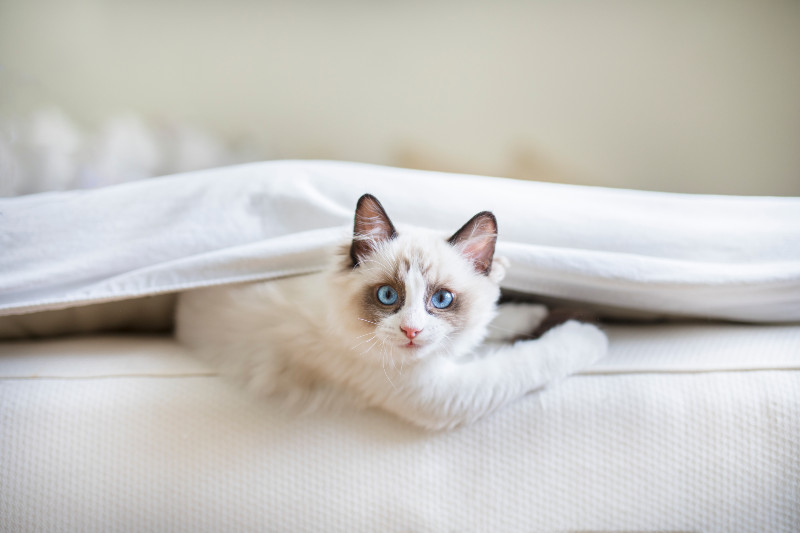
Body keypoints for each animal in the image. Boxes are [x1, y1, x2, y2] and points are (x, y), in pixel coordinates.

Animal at [177, 193, 608, 430]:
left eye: (442, 300)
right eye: (387, 296)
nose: (412, 332)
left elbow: (498, 322)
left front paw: (535, 311)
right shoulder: (444, 394)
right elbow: (534, 359)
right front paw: (589, 331)